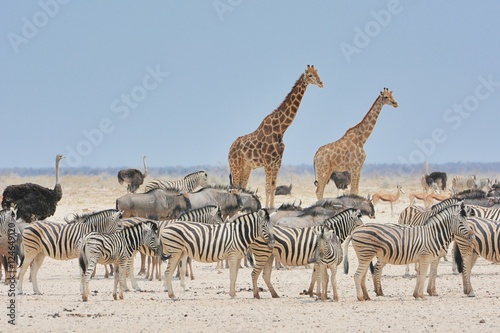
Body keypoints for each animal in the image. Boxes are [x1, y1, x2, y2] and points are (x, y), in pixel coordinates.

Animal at [228, 65, 322, 208]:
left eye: (317, 73)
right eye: (310, 75)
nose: (322, 83)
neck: (280, 130)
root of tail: (229, 149)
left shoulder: (277, 162)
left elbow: (273, 187)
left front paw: (271, 208)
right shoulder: (268, 162)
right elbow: (267, 187)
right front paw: (267, 208)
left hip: (246, 168)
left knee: (241, 187)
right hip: (235, 166)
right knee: (234, 188)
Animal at [346, 202, 474, 300]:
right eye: (461, 222)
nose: (472, 236)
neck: (432, 235)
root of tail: (354, 232)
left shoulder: (423, 258)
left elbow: (420, 276)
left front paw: (416, 294)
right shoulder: (425, 257)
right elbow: (423, 275)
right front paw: (422, 295)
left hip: (366, 256)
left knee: (363, 275)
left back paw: (367, 296)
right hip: (367, 255)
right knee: (358, 275)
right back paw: (361, 297)